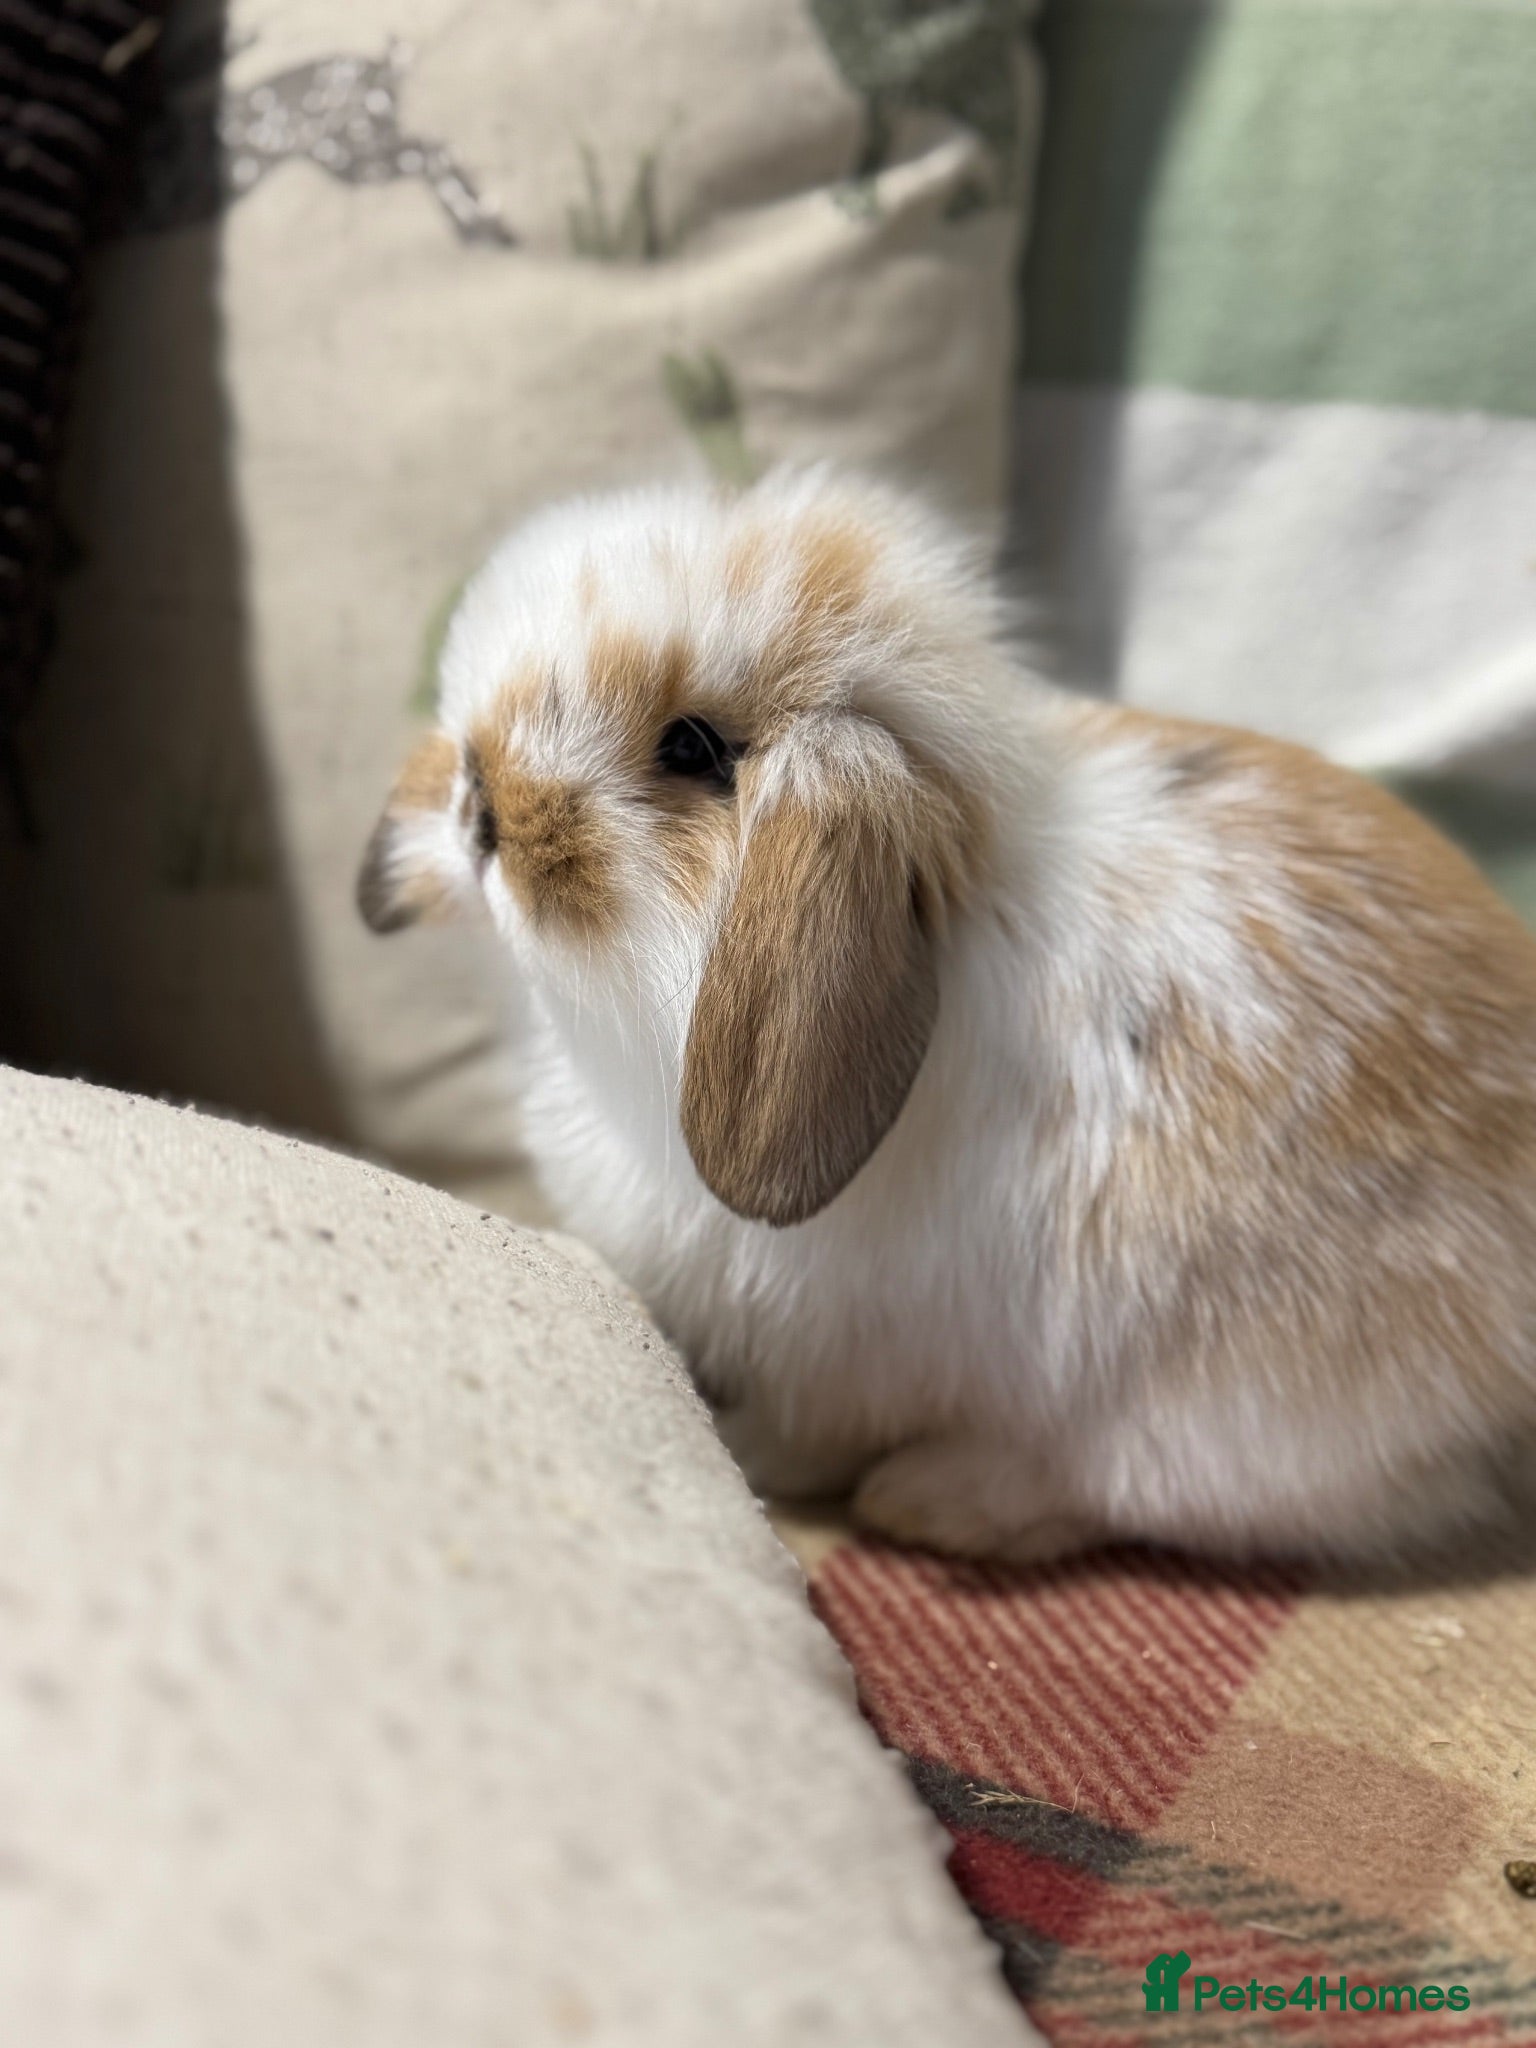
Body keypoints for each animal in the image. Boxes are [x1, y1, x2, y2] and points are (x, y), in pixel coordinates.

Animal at [358, 464, 1536, 1566]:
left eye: (692, 749)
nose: (479, 809)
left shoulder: (842, 1352)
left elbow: (814, 1430)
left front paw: (754, 1454)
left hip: (1213, 1414)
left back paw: (936, 1497)